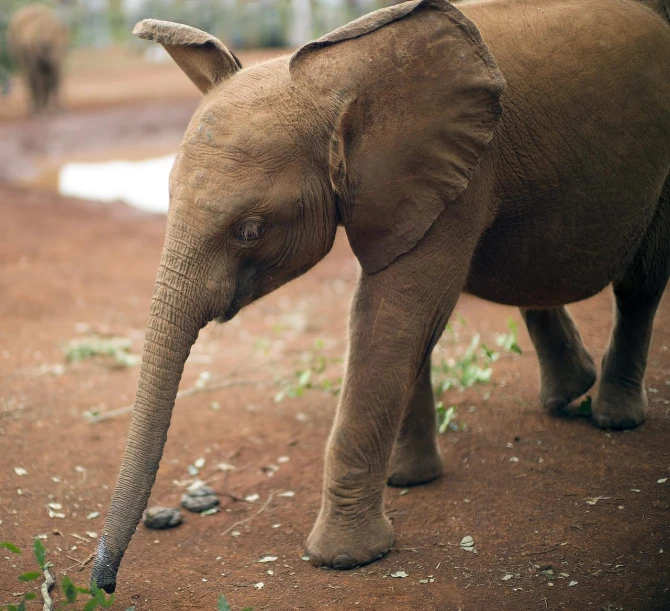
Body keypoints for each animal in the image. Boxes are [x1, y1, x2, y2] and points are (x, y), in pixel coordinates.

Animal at [90, 0, 670, 596]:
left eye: (250, 230)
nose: (103, 583)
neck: (333, 75)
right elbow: (405, 319)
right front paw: (408, 479)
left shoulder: (462, 176)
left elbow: (393, 318)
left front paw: (345, 557)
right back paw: (568, 393)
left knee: (640, 283)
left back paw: (614, 419)